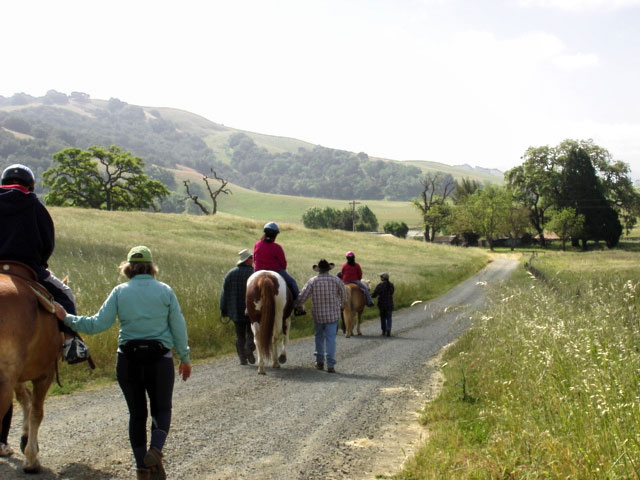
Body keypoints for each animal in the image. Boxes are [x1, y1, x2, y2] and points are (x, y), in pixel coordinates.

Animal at [0, 262, 62, 472]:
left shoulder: (17, 377)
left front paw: (24, 439)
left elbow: (25, 400)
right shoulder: (45, 374)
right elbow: (36, 411)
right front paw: (31, 458)